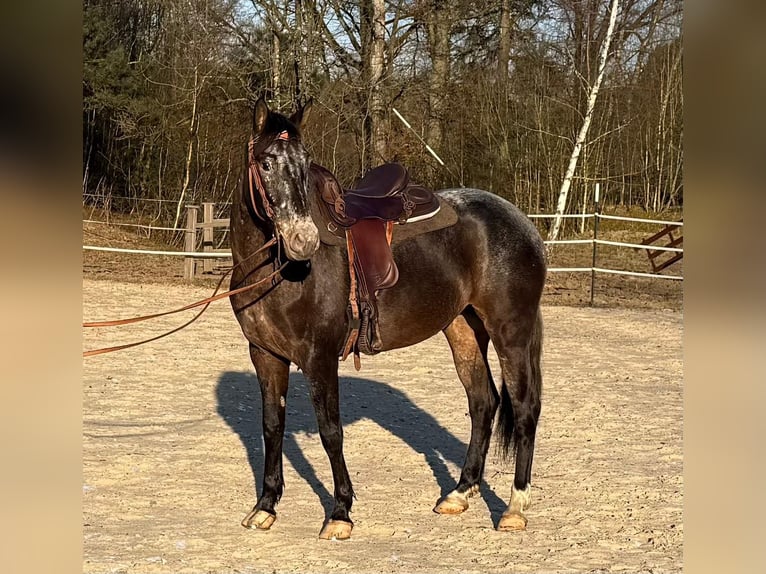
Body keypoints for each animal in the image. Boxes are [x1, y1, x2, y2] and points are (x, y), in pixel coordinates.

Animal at [228, 97, 544, 544]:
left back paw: (515, 508)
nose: (303, 242)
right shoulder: (265, 354)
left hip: (510, 331)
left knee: (524, 407)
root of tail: (522, 223)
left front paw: (340, 512)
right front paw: (265, 506)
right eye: (267, 163)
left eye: (305, 163)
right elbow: (272, 426)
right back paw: (460, 493)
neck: (278, 272)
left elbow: (330, 431)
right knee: (483, 402)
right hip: (463, 328)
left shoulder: (319, 357)